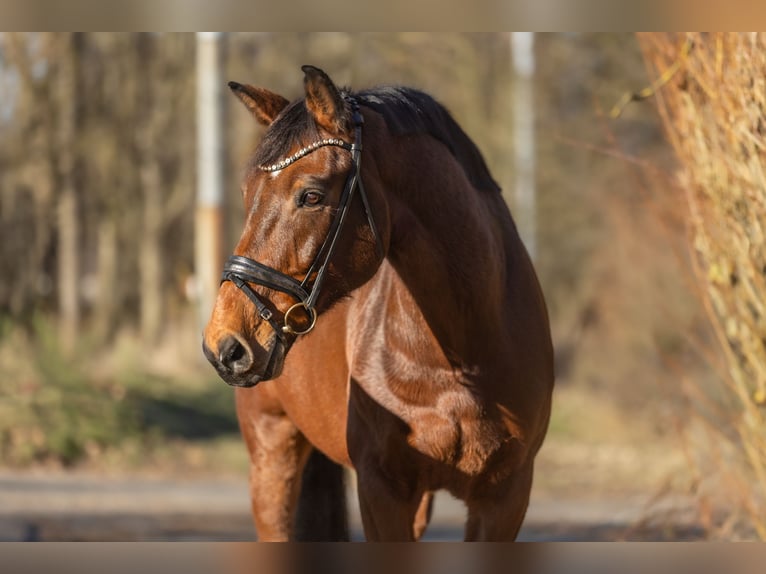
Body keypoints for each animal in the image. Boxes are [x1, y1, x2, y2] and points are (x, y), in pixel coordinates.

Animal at [202, 65, 554, 541]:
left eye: (311, 195)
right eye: (246, 194)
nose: (224, 344)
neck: (461, 359)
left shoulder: (505, 496)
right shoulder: (381, 488)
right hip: (271, 450)